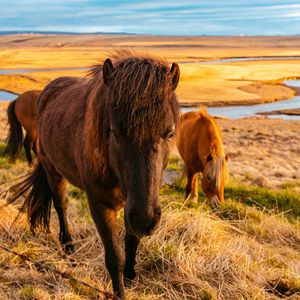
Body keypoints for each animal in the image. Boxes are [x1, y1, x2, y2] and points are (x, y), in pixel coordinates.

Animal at [8, 52, 179, 298]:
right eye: (115, 133)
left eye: (170, 133)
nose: (146, 220)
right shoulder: (100, 204)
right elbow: (114, 256)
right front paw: (119, 293)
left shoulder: (134, 204)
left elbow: (132, 239)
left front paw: (130, 276)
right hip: (53, 170)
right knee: (61, 205)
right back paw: (68, 246)